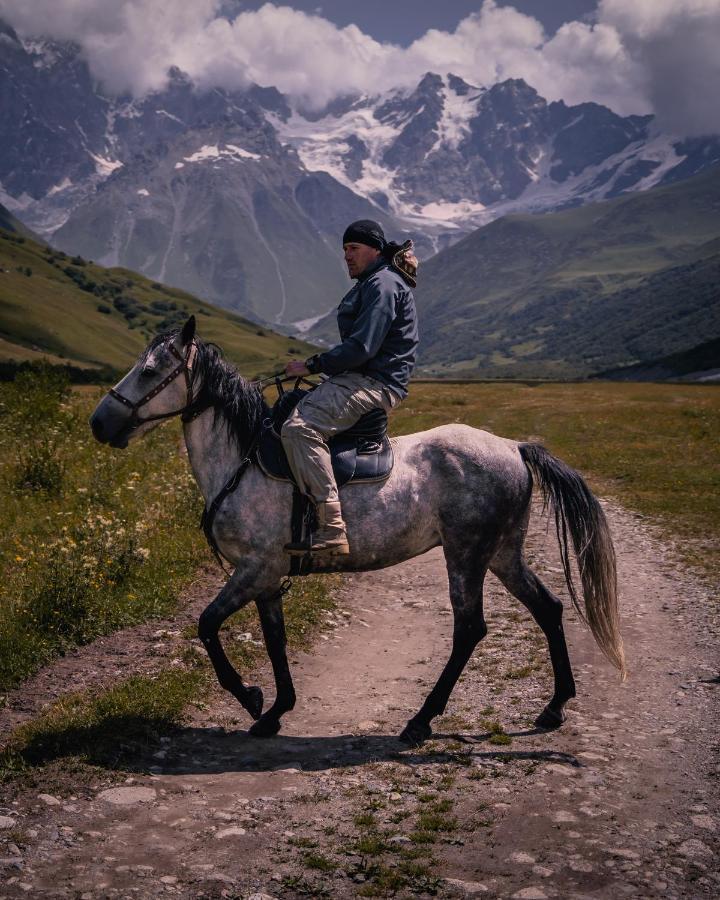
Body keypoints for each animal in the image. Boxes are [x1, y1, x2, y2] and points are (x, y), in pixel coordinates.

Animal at [91, 320, 624, 748]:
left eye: (149, 370)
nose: (99, 423)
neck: (242, 460)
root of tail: (513, 447)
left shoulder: (253, 569)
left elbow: (206, 626)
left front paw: (251, 697)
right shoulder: (268, 578)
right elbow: (275, 641)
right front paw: (276, 711)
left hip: (467, 555)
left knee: (470, 629)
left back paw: (420, 721)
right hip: (503, 554)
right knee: (548, 609)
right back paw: (554, 707)